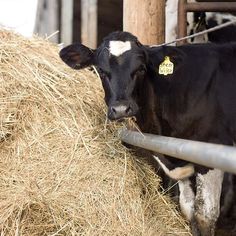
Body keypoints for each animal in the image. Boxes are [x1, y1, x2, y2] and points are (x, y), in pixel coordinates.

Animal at [60, 30, 236, 235]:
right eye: (101, 71)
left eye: (141, 69)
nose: (121, 109)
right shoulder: (179, 155)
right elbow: (187, 208)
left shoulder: (211, 149)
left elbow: (204, 216)